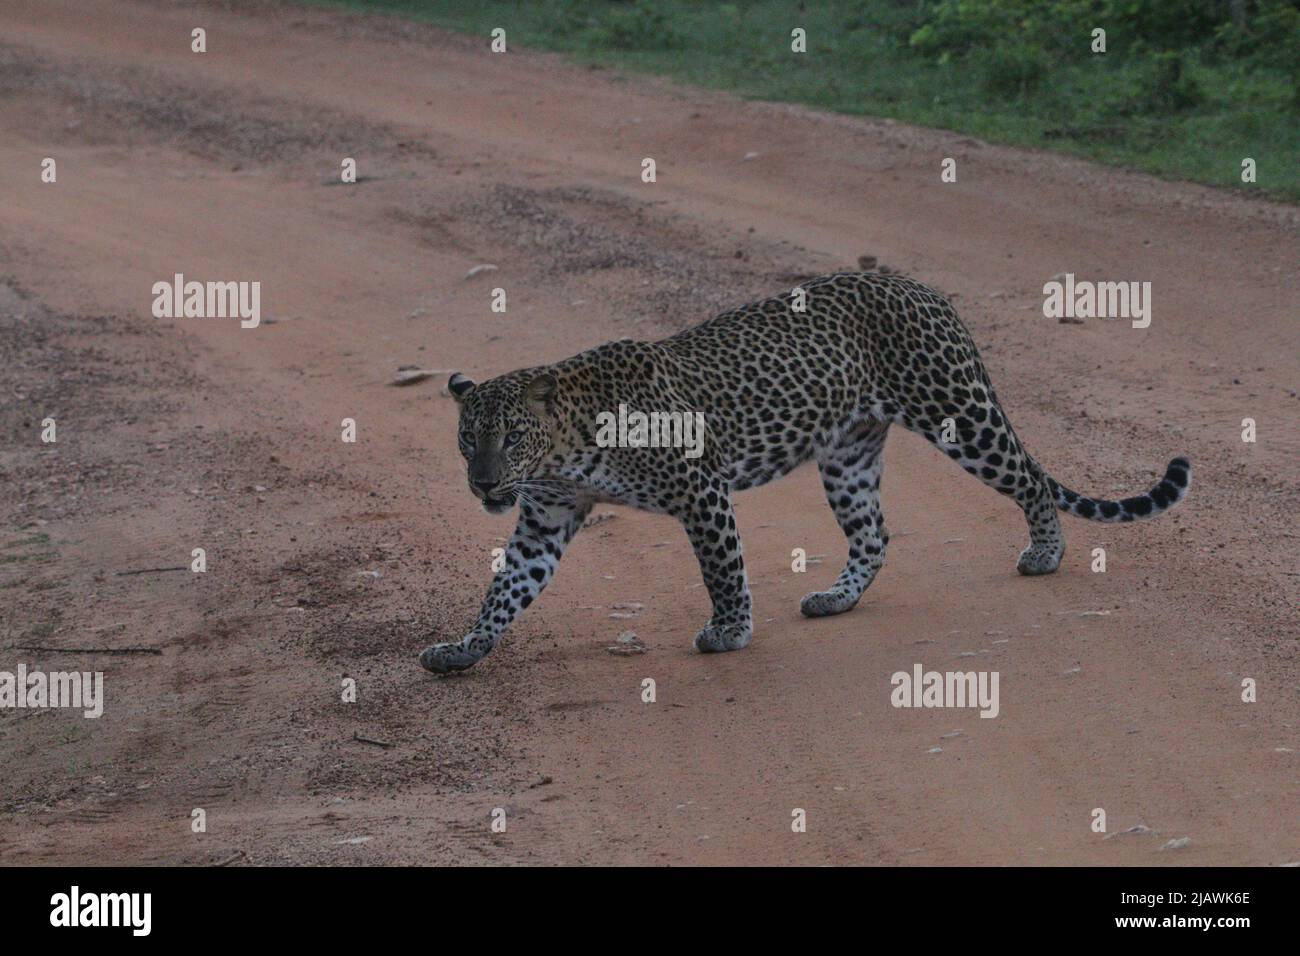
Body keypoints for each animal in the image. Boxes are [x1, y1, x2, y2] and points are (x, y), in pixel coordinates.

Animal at [421, 269, 1190, 671]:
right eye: (466, 440)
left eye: (511, 436)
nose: (483, 483)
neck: (567, 449)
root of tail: (920, 285)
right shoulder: (546, 517)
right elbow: (507, 587)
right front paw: (466, 647)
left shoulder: (700, 489)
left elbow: (722, 567)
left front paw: (729, 631)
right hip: (848, 454)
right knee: (874, 535)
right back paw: (835, 598)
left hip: (957, 412)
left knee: (1027, 480)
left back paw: (1045, 552)